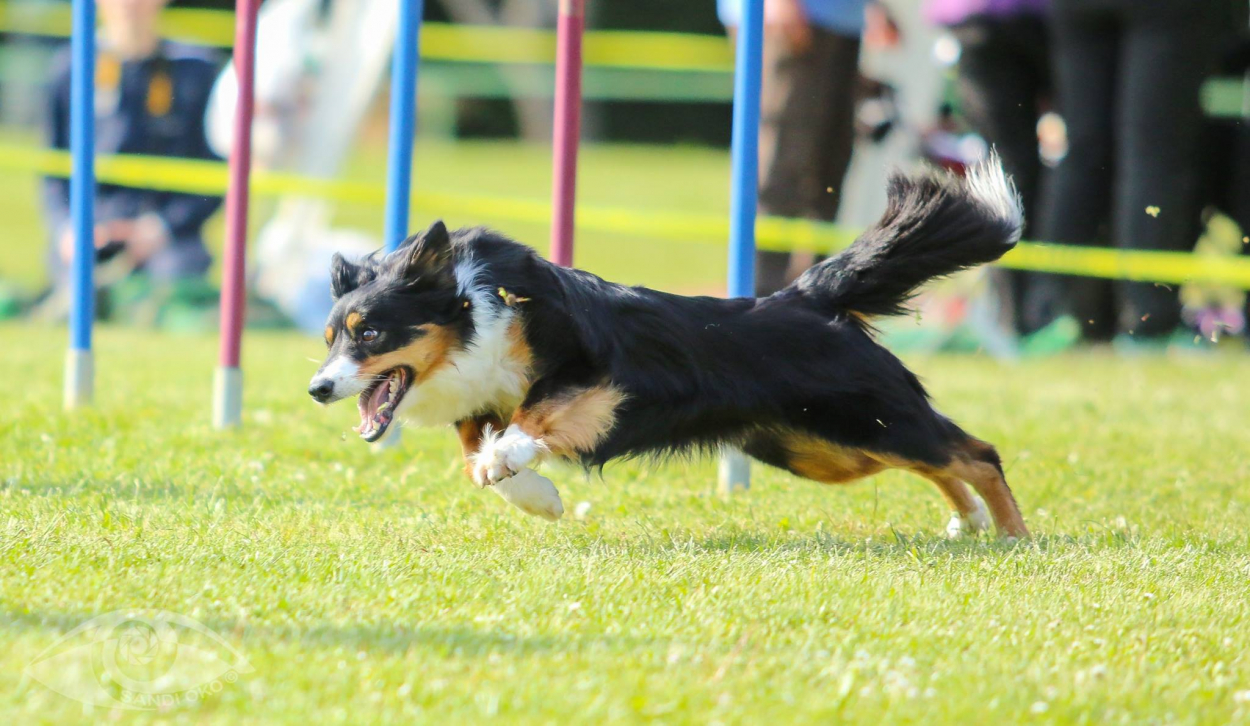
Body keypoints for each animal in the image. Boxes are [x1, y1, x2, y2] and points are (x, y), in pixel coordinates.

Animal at [308, 157, 1029, 538]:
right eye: (330, 338)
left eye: (369, 333)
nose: (318, 388)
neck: (471, 315)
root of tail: (808, 298)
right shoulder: (476, 401)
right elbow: (473, 458)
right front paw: (534, 495)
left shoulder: (596, 372)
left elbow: (531, 417)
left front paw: (512, 459)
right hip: (821, 449)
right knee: (941, 462)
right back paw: (969, 525)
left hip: (864, 419)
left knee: (977, 454)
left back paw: (1013, 539)